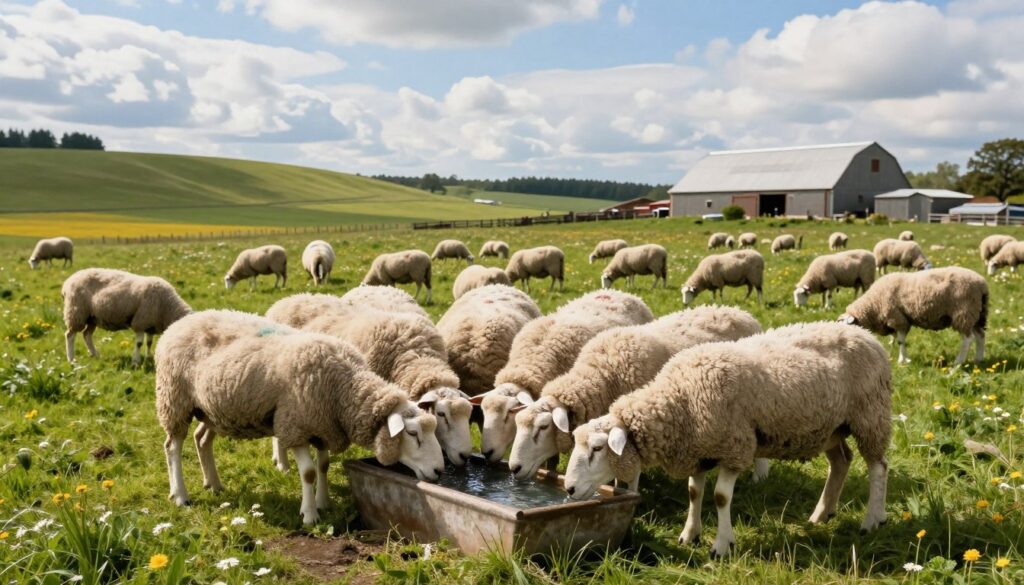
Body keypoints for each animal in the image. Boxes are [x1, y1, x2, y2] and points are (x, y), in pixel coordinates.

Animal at [62, 268, 192, 366]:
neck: (167, 306)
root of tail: (66, 283)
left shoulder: (150, 324)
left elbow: (149, 342)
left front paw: (149, 357)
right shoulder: (141, 321)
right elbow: (139, 343)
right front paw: (136, 361)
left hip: (92, 317)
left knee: (87, 335)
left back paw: (96, 354)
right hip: (76, 312)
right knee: (70, 335)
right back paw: (71, 360)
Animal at [155, 310, 444, 524]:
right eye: (413, 433)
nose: (440, 471)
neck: (342, 387)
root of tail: (178, 324)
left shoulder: (324, 427)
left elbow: (323, 466)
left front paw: (323, 502)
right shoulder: (294, 426)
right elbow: (308, 472)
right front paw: (310, 514)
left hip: (211, 409)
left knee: (202, 439)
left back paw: (214, 484)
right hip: (175, 399)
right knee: (172, 447)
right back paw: (180, 495)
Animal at [266, 301, 474, 466]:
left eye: (468, 414)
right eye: (441, 414)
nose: (465, 456)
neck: (415, 354)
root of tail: (288, 299)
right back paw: (282, 462)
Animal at [563, 322, 892, 556]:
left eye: (597, 448)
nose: (568, 489)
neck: (681, 400)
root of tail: (866, 334)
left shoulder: (735, 448)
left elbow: (721, 497)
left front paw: (722, 545)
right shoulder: (698, 451)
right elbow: (694, 492)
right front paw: (689, 534)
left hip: (870, 415)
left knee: (878, 468)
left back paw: (872, 520)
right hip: (832, 426)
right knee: (841, 462)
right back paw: (821, 514)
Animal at [838, 266, 988, 365]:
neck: (873, 304)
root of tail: (982, 284)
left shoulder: (898, 319)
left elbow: (900, 341)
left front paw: (903, 361)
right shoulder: (899, 320)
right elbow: (897, 340)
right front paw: (901, 357)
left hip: (963, 313)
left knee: (968, 339)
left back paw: (958, 362)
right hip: (977, 314)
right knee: (980, 336)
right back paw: (978, 359)